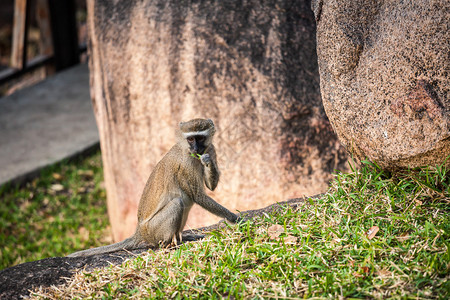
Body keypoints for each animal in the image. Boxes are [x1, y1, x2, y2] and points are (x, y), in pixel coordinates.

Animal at [68, 118, 237, 256]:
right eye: (190, 139)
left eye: (200, 138)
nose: (195, 149)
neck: (187, 151)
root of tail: (140, 232)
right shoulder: (186, 164)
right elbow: (198, 196)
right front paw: (234, 218)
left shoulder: (211, 149)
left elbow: (210, 186)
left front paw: (207, 161)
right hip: (153, 229)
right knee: (178, 203)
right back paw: (168, 244)